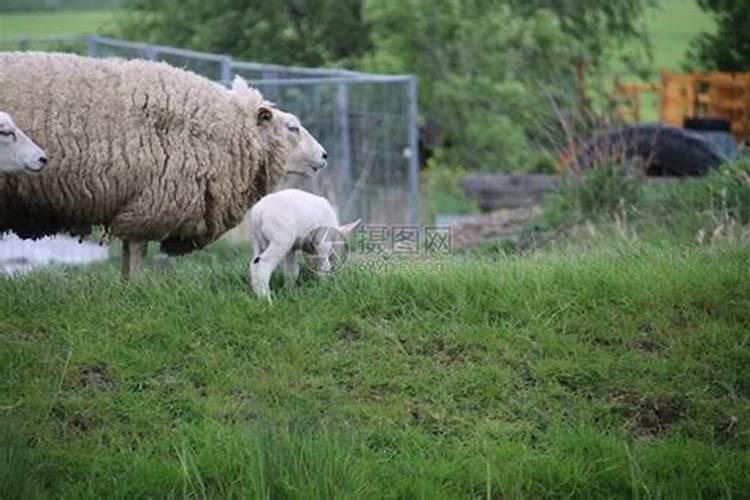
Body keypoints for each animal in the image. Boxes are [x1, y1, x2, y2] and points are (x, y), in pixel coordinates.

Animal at [0, 55, 328, 284]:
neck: (225, 130)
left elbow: (128, 253)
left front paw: (125, 287)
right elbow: (136, 252)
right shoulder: (151, 204)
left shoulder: (139, 204)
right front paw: (134, 289)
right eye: (293, 127)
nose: (325, 155)